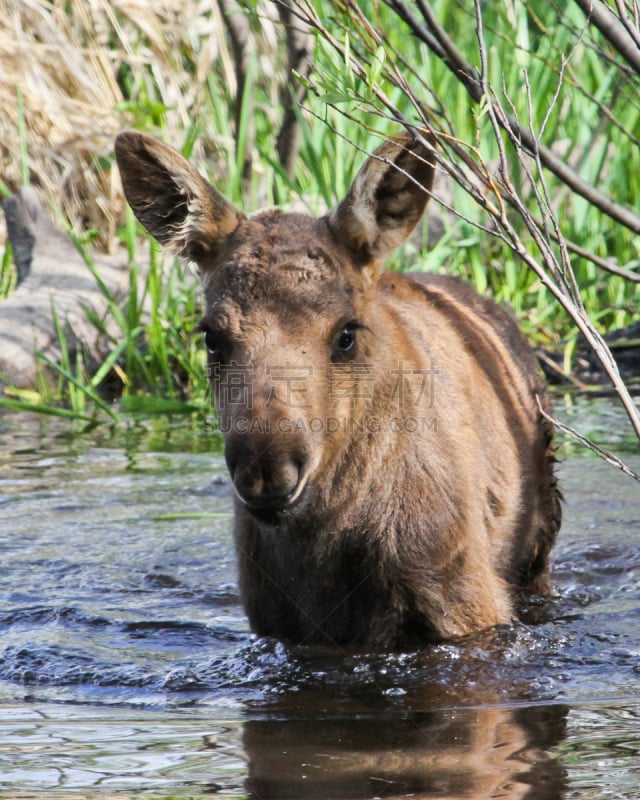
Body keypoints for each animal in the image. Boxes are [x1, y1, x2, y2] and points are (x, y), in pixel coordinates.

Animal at [115, 128, 560, 648]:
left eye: (346, 333)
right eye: (211, 338)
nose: (267, 468)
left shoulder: (468, 606)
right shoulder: (280, 626)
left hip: (537, 550)